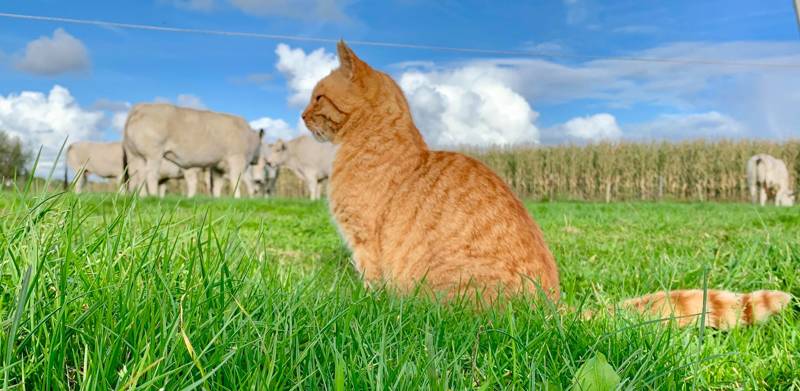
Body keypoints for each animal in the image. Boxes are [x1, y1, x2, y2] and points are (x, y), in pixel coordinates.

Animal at [122, 103, 262, 199]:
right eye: (261, 145)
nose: (257, 160)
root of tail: (140, 107)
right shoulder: (236, 157)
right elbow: (236, 179)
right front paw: (237, 197)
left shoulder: (217, 166)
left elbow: (218, 183)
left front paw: (217, 198)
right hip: (153, 153)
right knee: (150, 174)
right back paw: (153, 196)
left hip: (134, 154)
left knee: (137, 175)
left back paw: (140, 196)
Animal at [302, 39, 792, 328]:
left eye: (318, 97)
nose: (301, 115)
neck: (373, 138)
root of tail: (553, 310)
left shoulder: (366, 247)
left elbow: (372, 288)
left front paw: (369, 310)